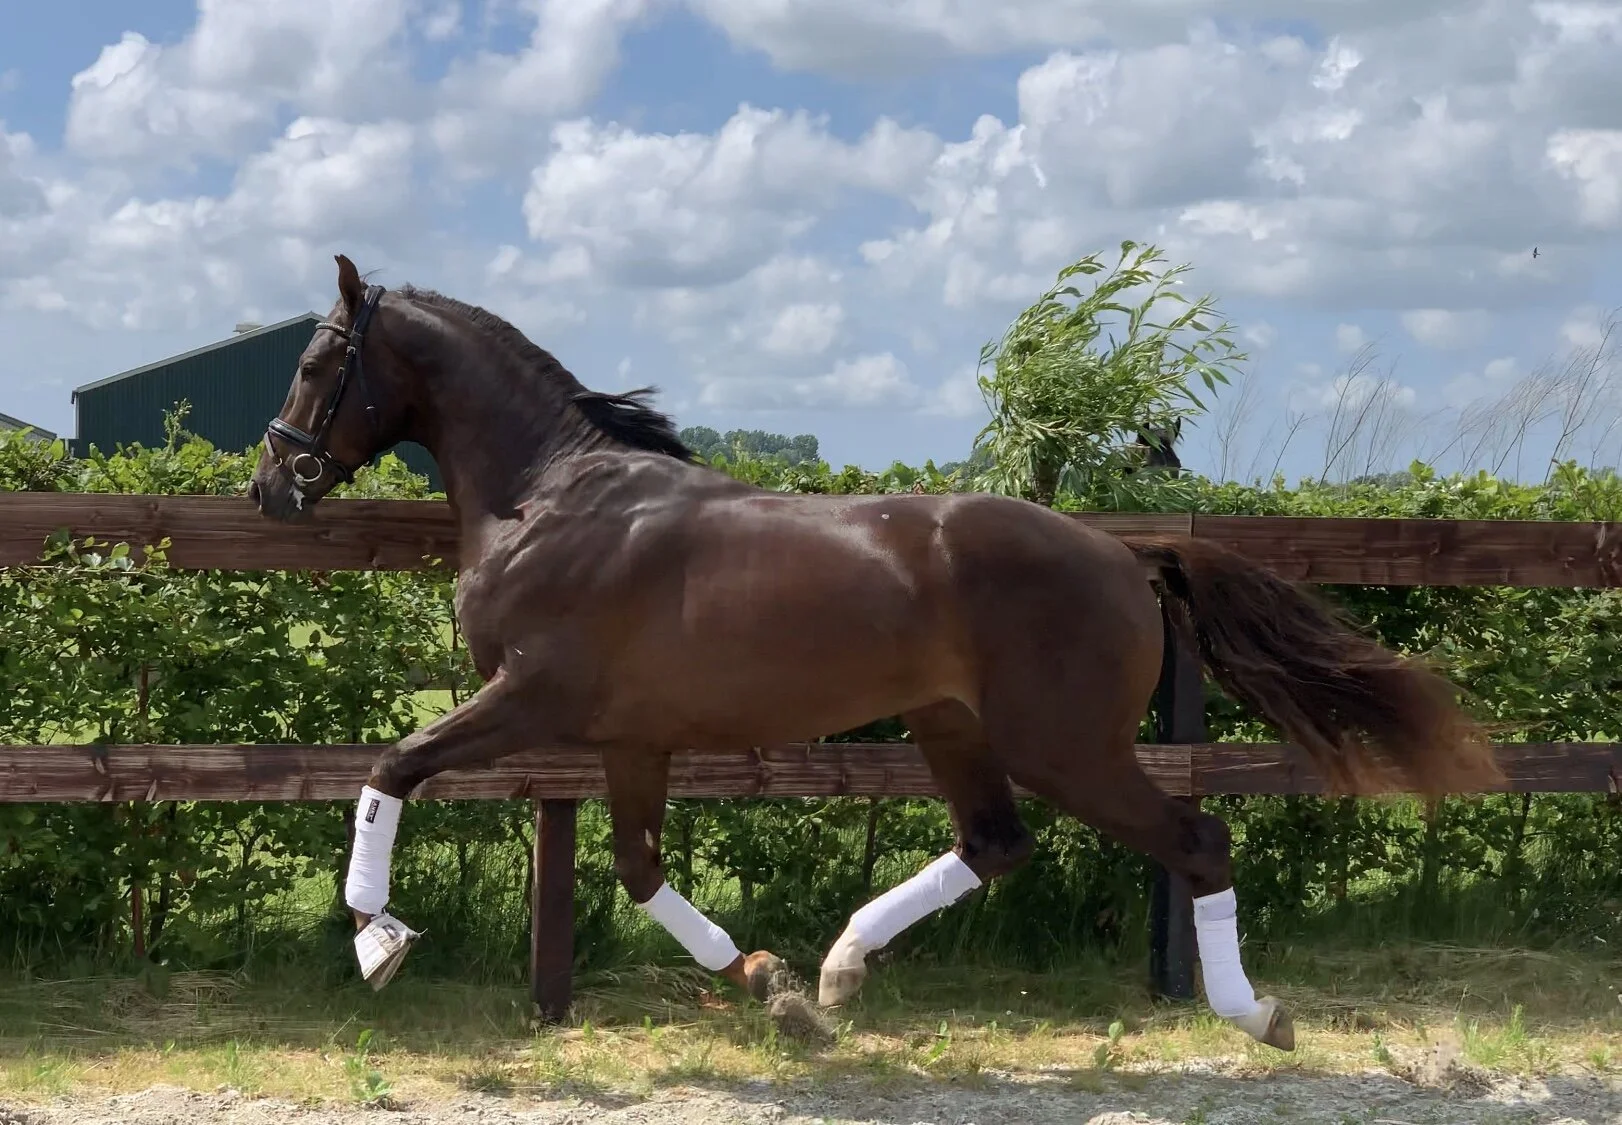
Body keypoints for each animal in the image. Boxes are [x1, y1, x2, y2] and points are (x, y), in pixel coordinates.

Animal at [247, 255, 1502, 1051]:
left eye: (314, 363)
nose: (270, 485)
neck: (552, 499)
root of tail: (1123, 556)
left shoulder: (529, 697)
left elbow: (392, 767)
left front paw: (375, 938)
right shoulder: (630, 737)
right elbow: (639, 869)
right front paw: (772, 990)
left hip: (1066, 746)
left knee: (1194, 842)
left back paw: (1252, 1014)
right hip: (953, 726)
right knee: (995, 844)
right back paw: (842, 967)